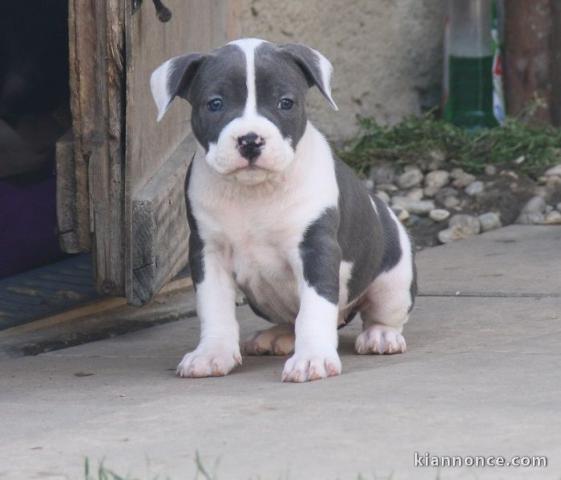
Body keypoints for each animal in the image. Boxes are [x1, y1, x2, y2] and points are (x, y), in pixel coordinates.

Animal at [150, 37, 416, 382]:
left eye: (285, 103)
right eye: (215, 104)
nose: (250, 140)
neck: (254, 193)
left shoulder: (316, 249)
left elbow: (315, 308)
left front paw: (312, 358)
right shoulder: (208, 252)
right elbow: (214, 307)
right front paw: (212, 354)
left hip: (394, 278)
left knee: (382, 313)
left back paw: (381, 335)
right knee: (292, 318)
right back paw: (277, 336)